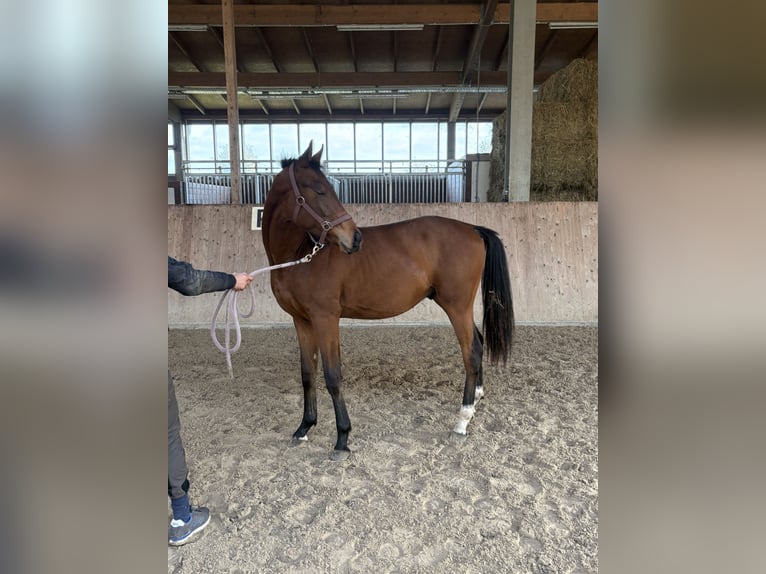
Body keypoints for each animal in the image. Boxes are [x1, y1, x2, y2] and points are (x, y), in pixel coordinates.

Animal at [262, 144, 516, 464]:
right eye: (319, 190)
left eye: (327, 188)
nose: (354, 238)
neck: (301, 254)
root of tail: (472, 228)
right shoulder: (302, 321)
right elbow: (308, 374)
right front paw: (304, 428)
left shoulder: (326, 319)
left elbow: (333, 376)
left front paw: (342, 438)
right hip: (459, 307)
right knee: (479, 345)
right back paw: (477, 399)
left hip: (457, 306)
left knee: (470, 353)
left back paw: (462, 420)